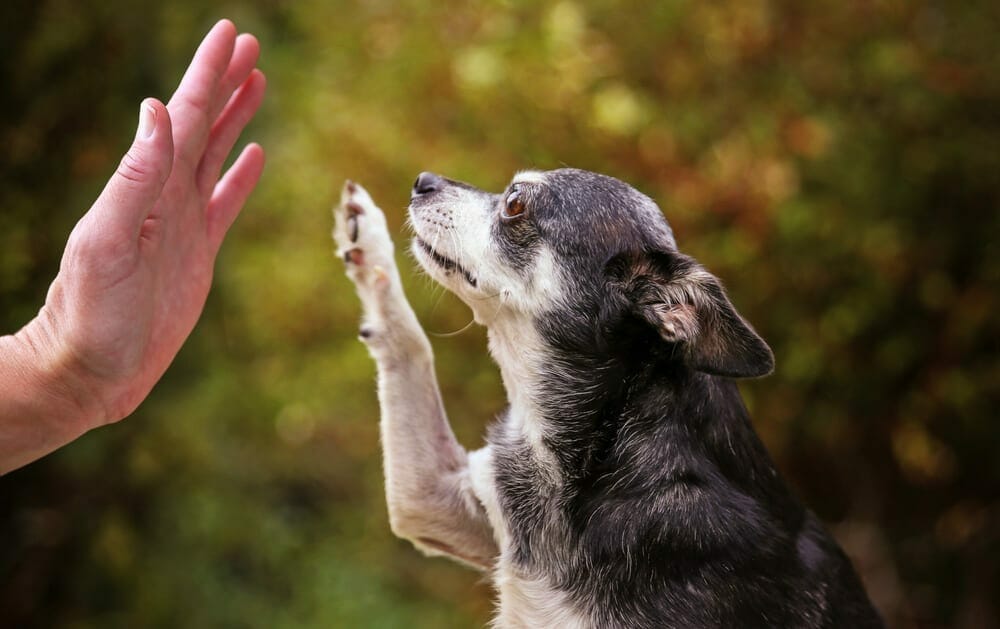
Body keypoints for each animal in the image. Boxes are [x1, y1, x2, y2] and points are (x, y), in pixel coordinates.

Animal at [336, 169, 884, 624]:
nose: (424, 181)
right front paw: (368, 245)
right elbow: (409, 345)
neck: (605, 443)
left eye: (514, 202)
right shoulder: (431, 500)